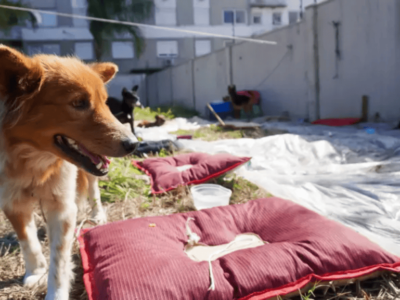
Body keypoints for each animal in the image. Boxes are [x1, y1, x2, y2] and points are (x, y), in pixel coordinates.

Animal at [0, 45, 138, 300]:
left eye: (105, 103)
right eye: (79, 103)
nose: (133, 144)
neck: (32, 159)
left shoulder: (62, 207)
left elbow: (59, 262)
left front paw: (56, 292)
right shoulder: (12, 201)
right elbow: (28, 241)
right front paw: (36, 271)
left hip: (91, 174)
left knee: (93, 189)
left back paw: (98, 215)